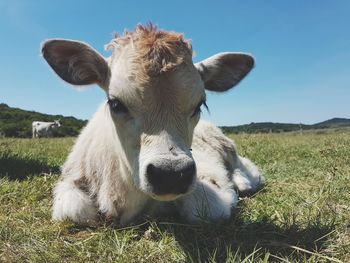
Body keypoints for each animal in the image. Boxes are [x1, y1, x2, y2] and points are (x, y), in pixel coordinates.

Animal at [41, 24, 264, 226]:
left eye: (199, 105)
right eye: (115, 103)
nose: (171, 174)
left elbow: (206, 208)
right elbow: (76, 211)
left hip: (225, 146)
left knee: (243, 167)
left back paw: (243, 182)